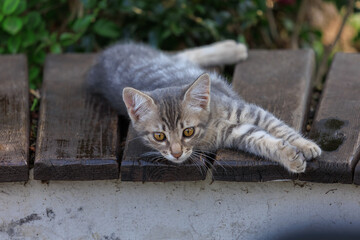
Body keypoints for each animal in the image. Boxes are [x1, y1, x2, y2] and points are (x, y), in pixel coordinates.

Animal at [88, 40, 322, 172]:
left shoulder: (251, 111)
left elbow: (280, 128)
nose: (176, 154)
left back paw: (232, 48)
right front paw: (290, 157)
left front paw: (305, 145)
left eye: (188, 131)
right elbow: (263, 140)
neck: (211, 123)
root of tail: (103, 59)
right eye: (159, 136)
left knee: (182, 54)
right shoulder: (236, 132)